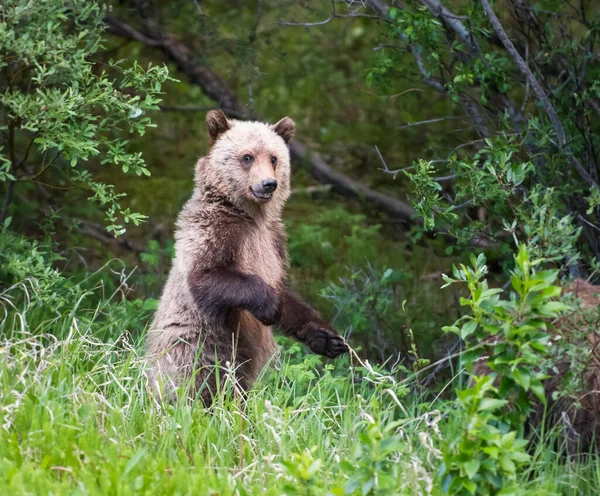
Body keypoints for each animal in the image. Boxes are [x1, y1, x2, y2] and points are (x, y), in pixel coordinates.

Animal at [147, 110, 350, 404]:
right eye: (247, 156)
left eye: (274, 157)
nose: (268, 184)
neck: (249, 215)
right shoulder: (216, 230)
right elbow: (207, 276)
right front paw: (270, 305)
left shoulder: (275, 243)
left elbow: (285, 292)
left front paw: (326, 337)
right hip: (197, 345)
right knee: (195, 382)